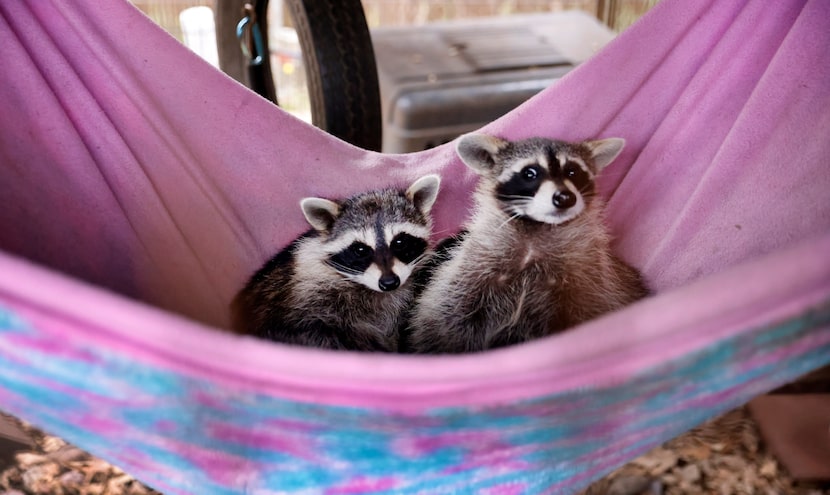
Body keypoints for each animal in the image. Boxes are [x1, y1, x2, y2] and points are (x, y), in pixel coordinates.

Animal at [408, 134, 648, 354]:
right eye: (529, 173)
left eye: (573, 171)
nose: (565, 197)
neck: (535, 230)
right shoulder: (469, 273)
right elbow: (445, 319)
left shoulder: (592, 278)